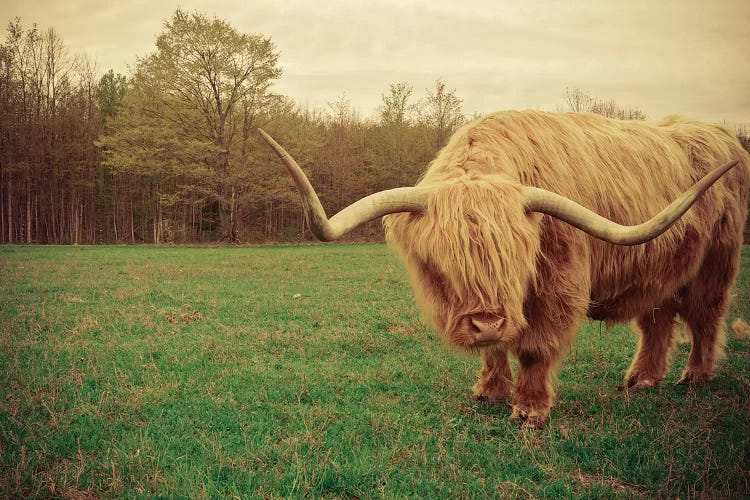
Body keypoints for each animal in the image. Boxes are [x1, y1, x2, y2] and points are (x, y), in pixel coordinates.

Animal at [260, 111, 750, 428]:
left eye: (518, 259)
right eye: (443, 263)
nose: (487, 321)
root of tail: (722, 136)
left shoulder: (558, 286)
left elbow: (534, 347)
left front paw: (529, 409)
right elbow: (494, 349)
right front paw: (490, 391)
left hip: (716, 264)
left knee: (705, 318)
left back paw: (693, 378)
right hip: (659, 268)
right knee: (657, 321)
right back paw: (641, 380)